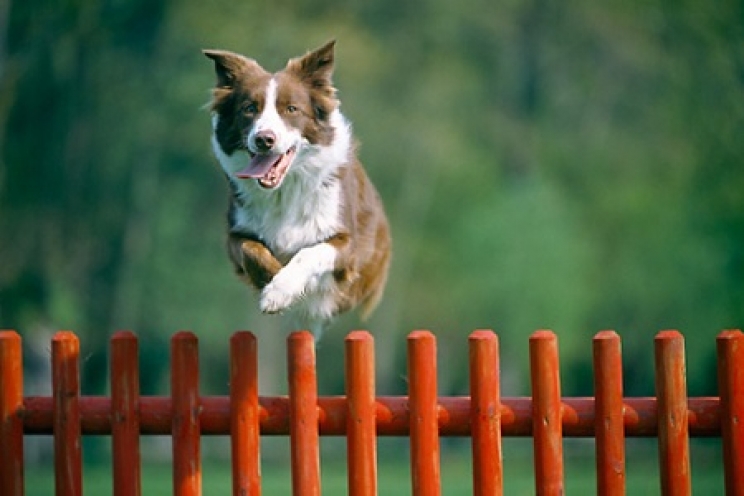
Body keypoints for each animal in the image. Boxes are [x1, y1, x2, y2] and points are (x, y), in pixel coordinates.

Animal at [202, 40, 390, 336]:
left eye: (291, 109)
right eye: (249, 108)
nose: (264, 139)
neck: (283, 191)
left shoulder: (348, 245)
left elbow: (311, 252)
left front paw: (280, 290)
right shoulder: (236, 234)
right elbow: (252, 250)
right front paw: (273, 282)